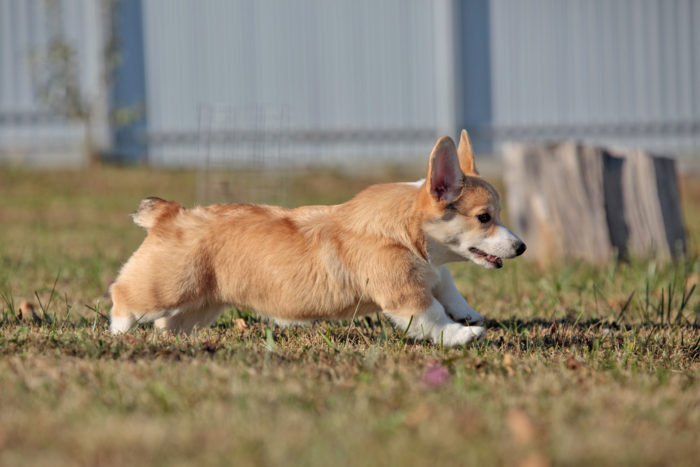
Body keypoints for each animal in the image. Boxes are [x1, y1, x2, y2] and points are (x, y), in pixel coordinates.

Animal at [110, 130, 524, 346]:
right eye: (484, 218)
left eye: (499, 214)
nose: (521, 247)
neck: (408, 234)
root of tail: (169, 214)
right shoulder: (405, 295)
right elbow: (433, 316)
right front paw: (462, 334)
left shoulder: (433, 273)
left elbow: (447, 285)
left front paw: (468, 313)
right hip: (162, 290)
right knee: (123, 297)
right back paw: (117, 333)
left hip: (199, 307)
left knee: (169, 326)